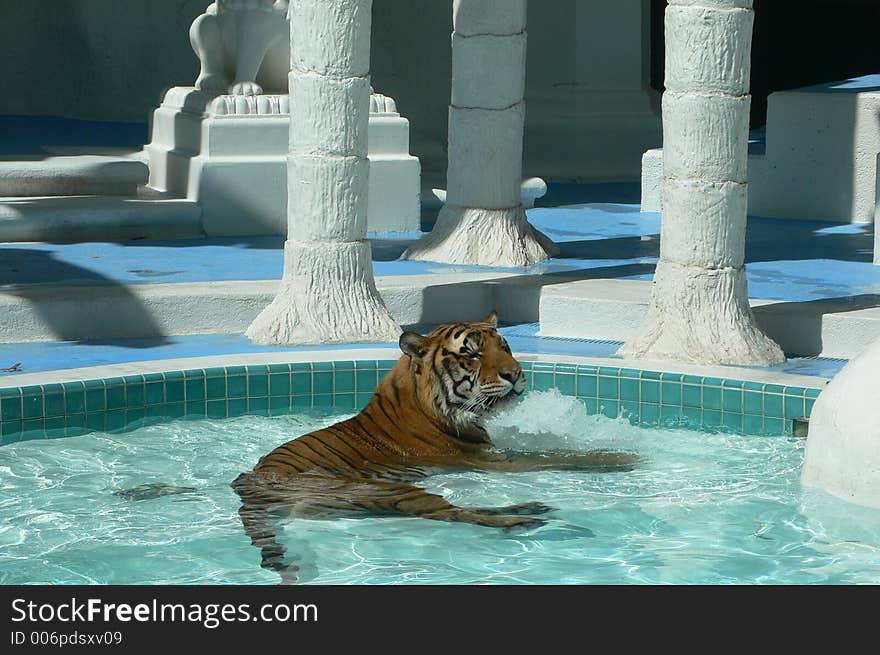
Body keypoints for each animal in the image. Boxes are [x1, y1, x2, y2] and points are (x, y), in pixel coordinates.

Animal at [230, 312, 636, 584]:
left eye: (505, 347)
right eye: (472, 354)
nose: (516, 375)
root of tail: (248, 491)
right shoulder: (489, 459)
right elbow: (558, 457)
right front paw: (623, 457)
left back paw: (530, 508)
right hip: (386, 490)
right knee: (450, 513)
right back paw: (525, 520)